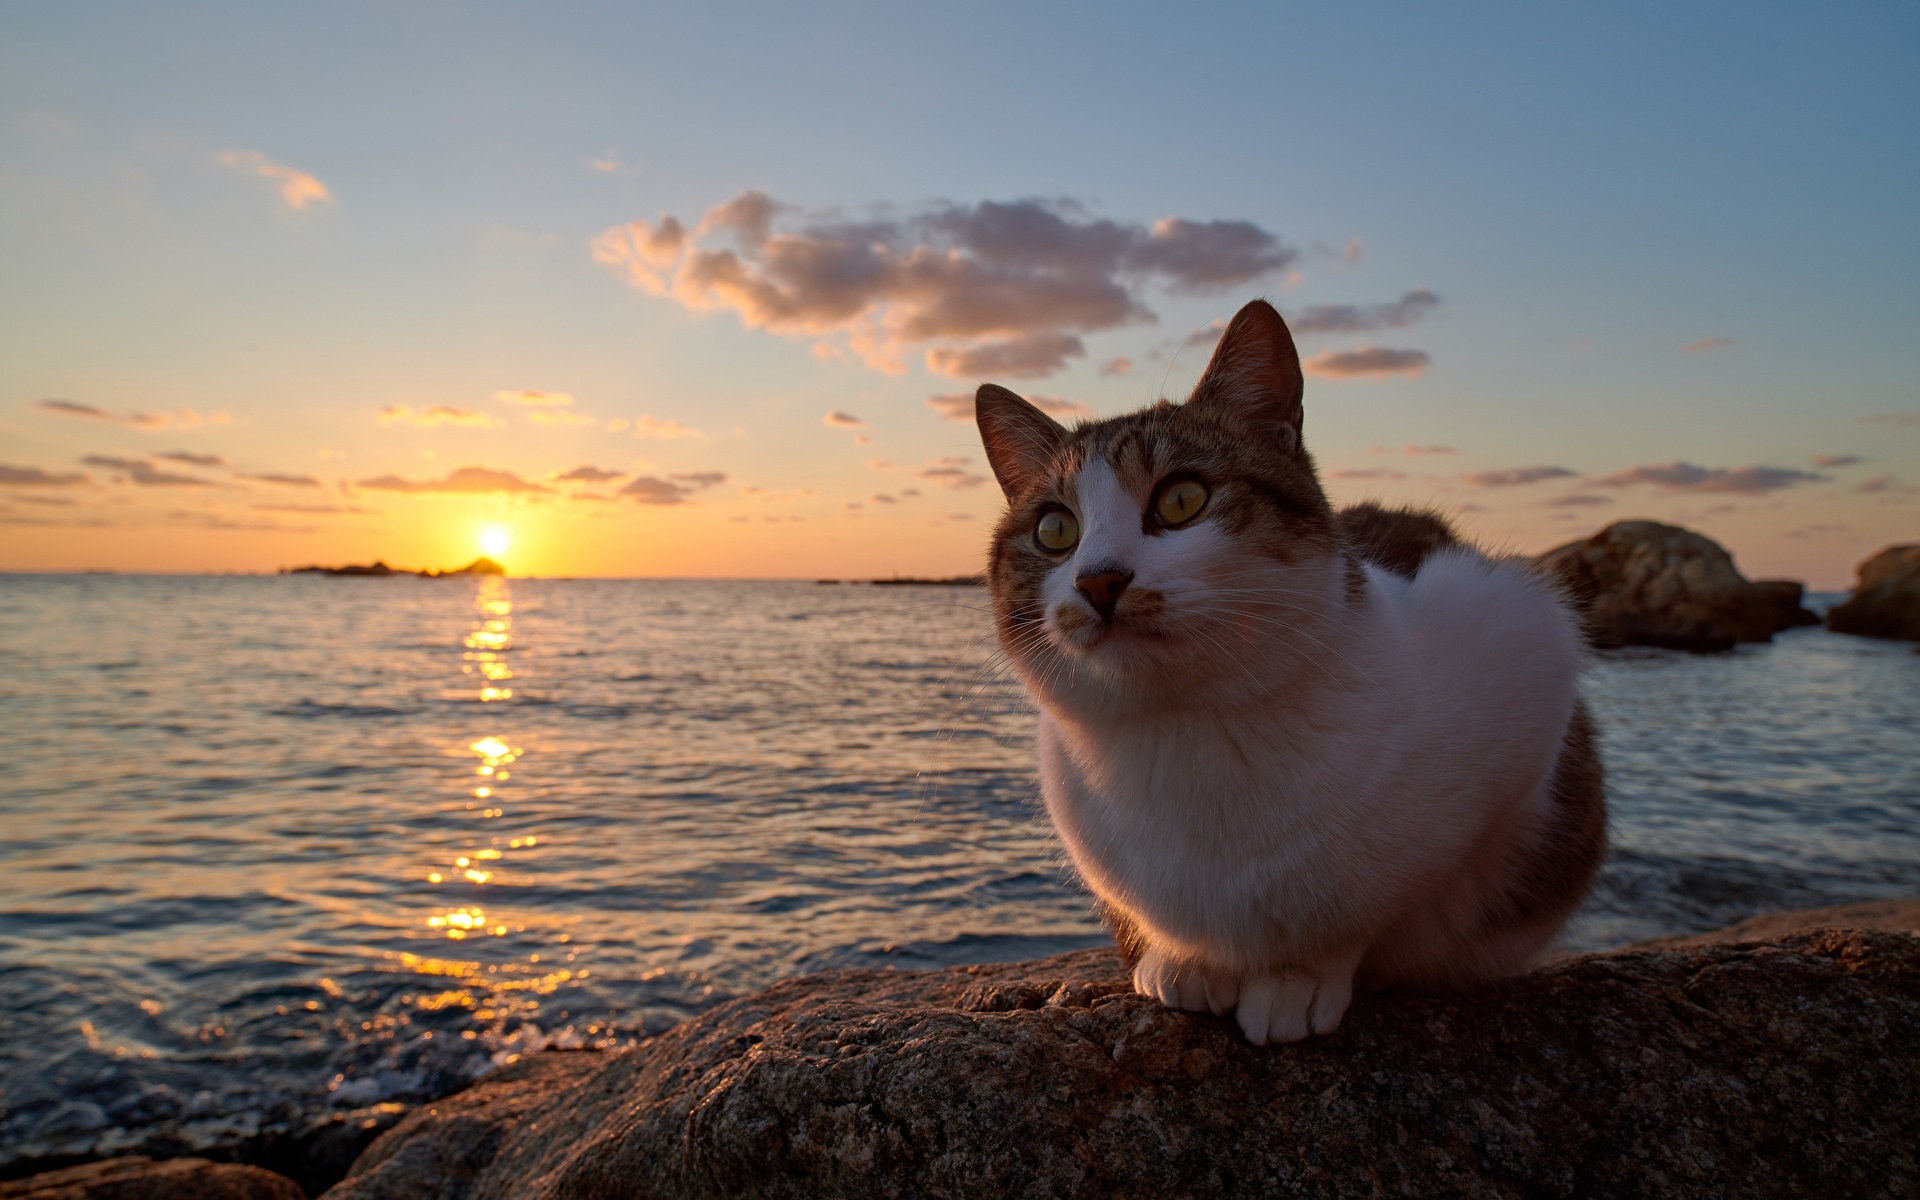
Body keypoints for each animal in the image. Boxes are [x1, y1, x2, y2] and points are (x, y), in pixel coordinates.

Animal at [975, 297, 1605, 1036]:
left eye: (1182, 499)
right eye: (1054, 530)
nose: (1098, 580)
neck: (1191, 730)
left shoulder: (1522, 645)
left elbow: (1358, 917)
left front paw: (1295, 979)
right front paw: (1186, 962)